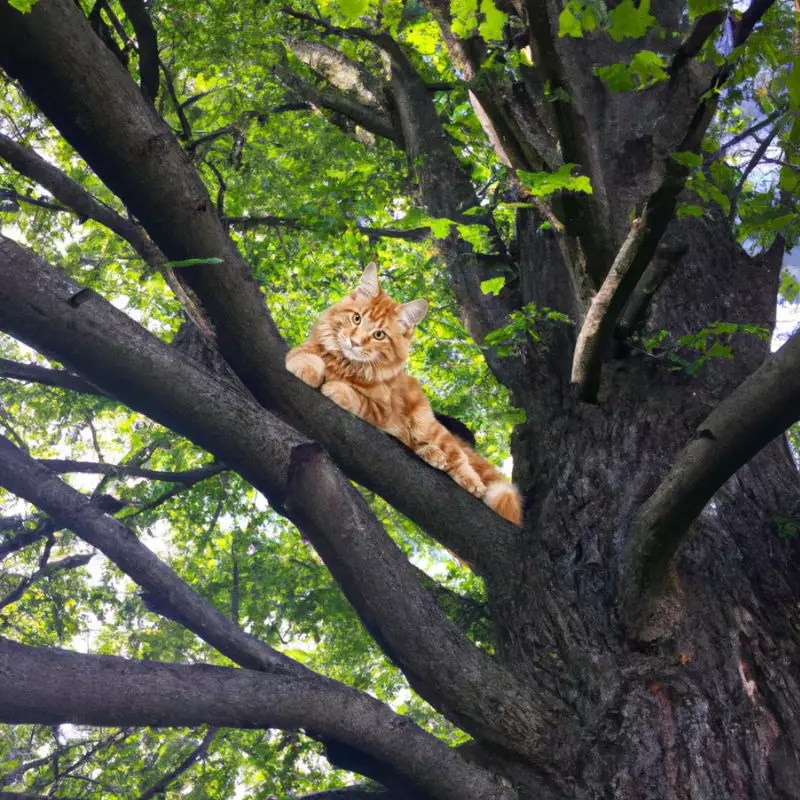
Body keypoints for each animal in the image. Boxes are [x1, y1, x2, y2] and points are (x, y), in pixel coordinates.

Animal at [284, 262, 520, 524]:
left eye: (379, 335)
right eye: (356, 318)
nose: (355, 343)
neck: (347, 365)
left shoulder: (381, 409)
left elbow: (356, 397)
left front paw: (336, 388)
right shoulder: (306, 349)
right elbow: (306, 356)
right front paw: (306, 369)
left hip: (429, 427)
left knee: (460, 458)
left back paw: (469, 480)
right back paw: (432, 454)